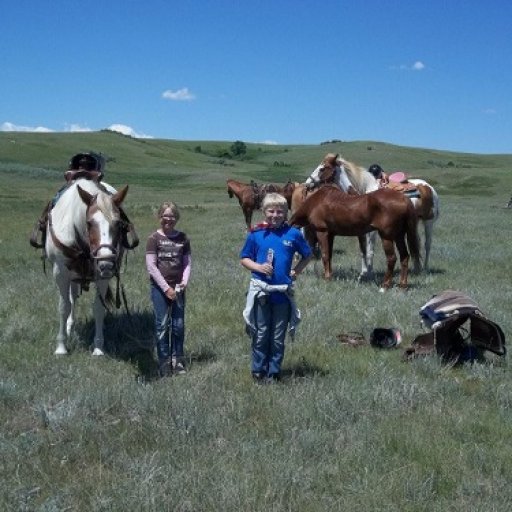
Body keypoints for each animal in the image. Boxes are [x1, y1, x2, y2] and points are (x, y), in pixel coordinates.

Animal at [44, 180, 130, 356]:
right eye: (89, 223)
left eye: (119, 223)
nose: (106, 263)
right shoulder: (61, 274)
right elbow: (63, 307)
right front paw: (61, 347)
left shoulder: (102, 276)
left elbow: (98, 308)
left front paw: (98, 347)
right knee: (72, 299)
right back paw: (69, 327)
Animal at [288, 185, 420, 290]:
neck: (316, 202)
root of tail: (404, 199)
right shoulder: (331, 235)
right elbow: (329, 256)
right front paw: (330, 276)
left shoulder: (322, 232)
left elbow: (325, 256)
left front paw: (327, 278)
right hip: (399, 236)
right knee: (404, 257)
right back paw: (403, 285)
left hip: (386, 236)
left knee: (392, 258)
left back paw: (385, 285)